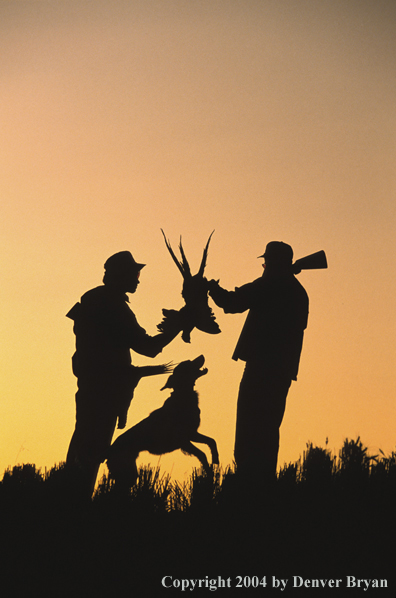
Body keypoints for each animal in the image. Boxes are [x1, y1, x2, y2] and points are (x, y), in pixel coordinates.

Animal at [106, 354, 220, 490]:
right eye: (187, 363)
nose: (201, 355)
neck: (183, 396)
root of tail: (108, 452)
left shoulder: (192, 434)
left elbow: (212, 441)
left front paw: (216, 459)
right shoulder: (183, 440)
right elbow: (202, 455)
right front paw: (209, 473)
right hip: (127, 472)